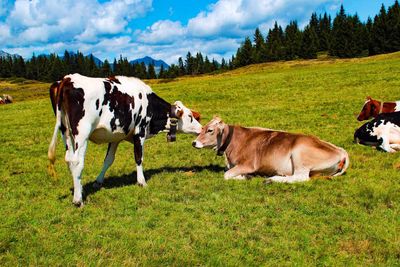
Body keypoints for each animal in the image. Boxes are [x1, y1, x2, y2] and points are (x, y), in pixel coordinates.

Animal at [48, 74, 202, 207]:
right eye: (190, 116)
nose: (201, 128)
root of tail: (67, 79)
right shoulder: (140, 131)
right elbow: (139, 157)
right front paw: (141, 182)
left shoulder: (116, 137)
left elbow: (108, 160)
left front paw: (98, 181)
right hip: (82, 134)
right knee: (77, 162)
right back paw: (78, 200)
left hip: (66, 133)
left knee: (69, 160)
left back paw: (78, 189)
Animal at [192, 117, 348, 184]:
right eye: (202, 127)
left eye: (210, 130)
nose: (194, 143)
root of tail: (341, 151)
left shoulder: (249, 164)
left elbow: (226, 175)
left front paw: (246, 177)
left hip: (300, 154)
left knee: (301, 177)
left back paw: (273, 178)